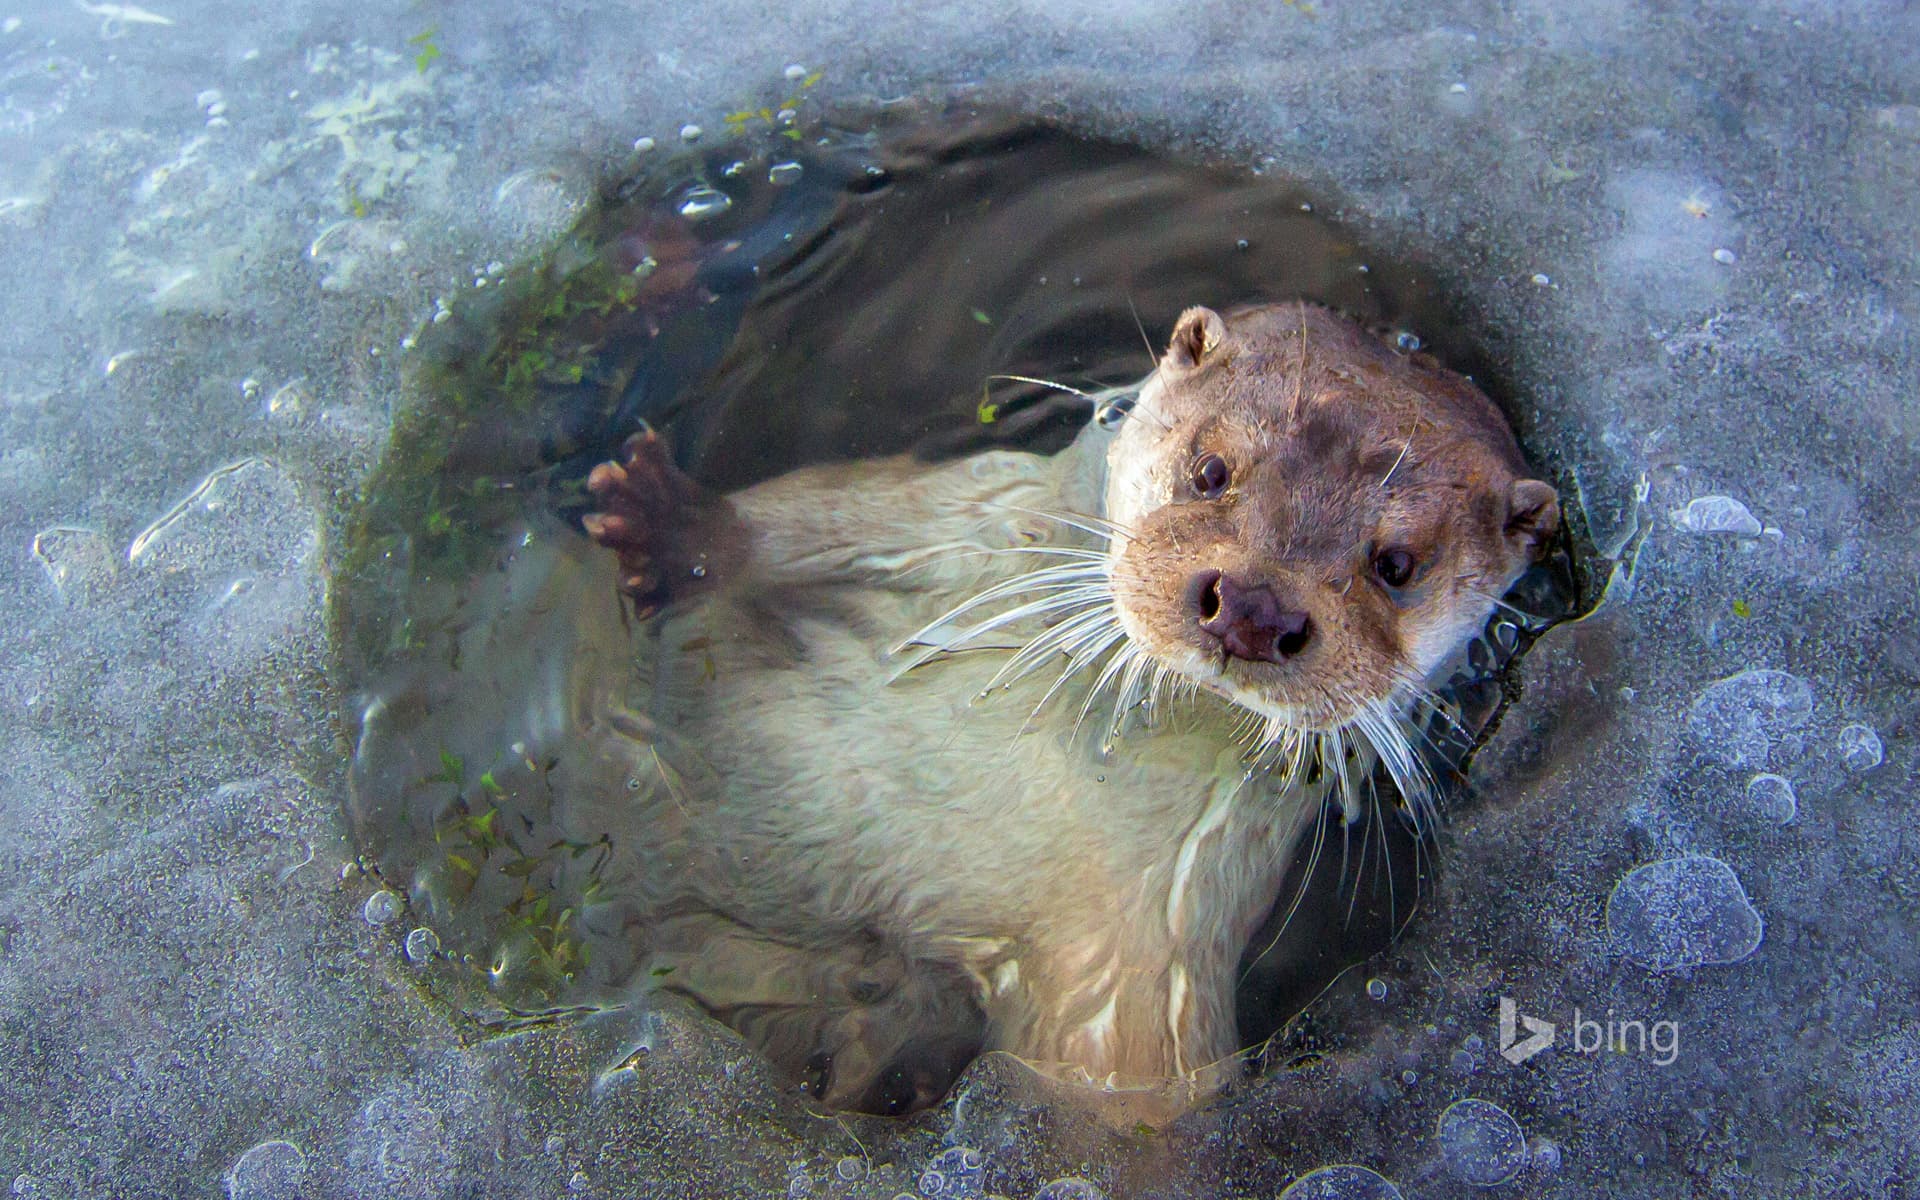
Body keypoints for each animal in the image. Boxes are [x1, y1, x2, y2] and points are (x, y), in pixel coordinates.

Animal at [577, 301, 1559, 1113]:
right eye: (1211, 469)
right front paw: (673, 524)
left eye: (1397, 565)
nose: (1255, 606)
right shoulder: (973, 508)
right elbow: (826, 511)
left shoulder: (1151, 956)